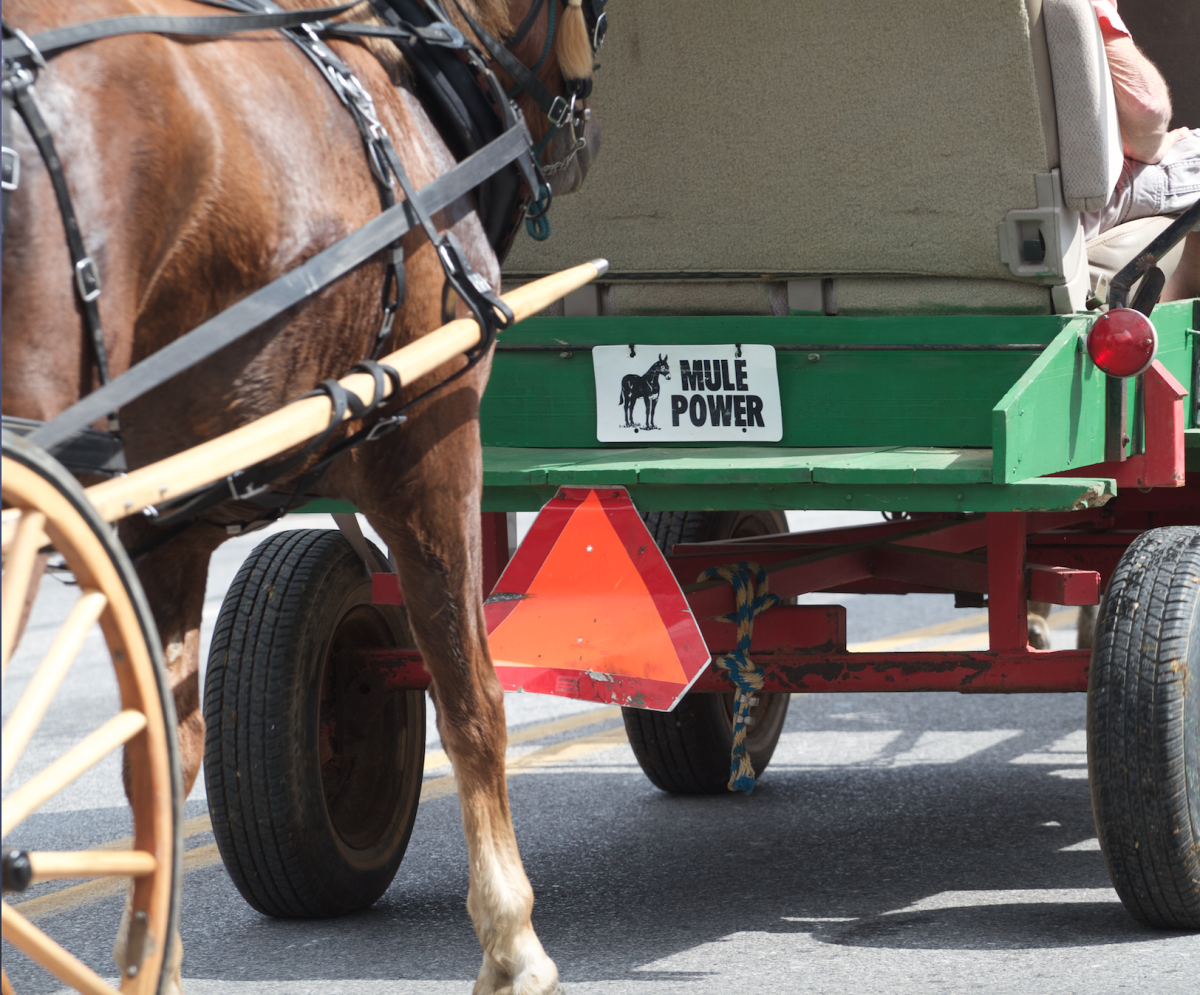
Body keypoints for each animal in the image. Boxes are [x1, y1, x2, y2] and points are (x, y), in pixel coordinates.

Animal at [0, 3, 597, 988]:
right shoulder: (430, 444)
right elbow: (471, 694)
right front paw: (513, 941)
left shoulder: (167, 526)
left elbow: (164, 750)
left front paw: (154, 957)